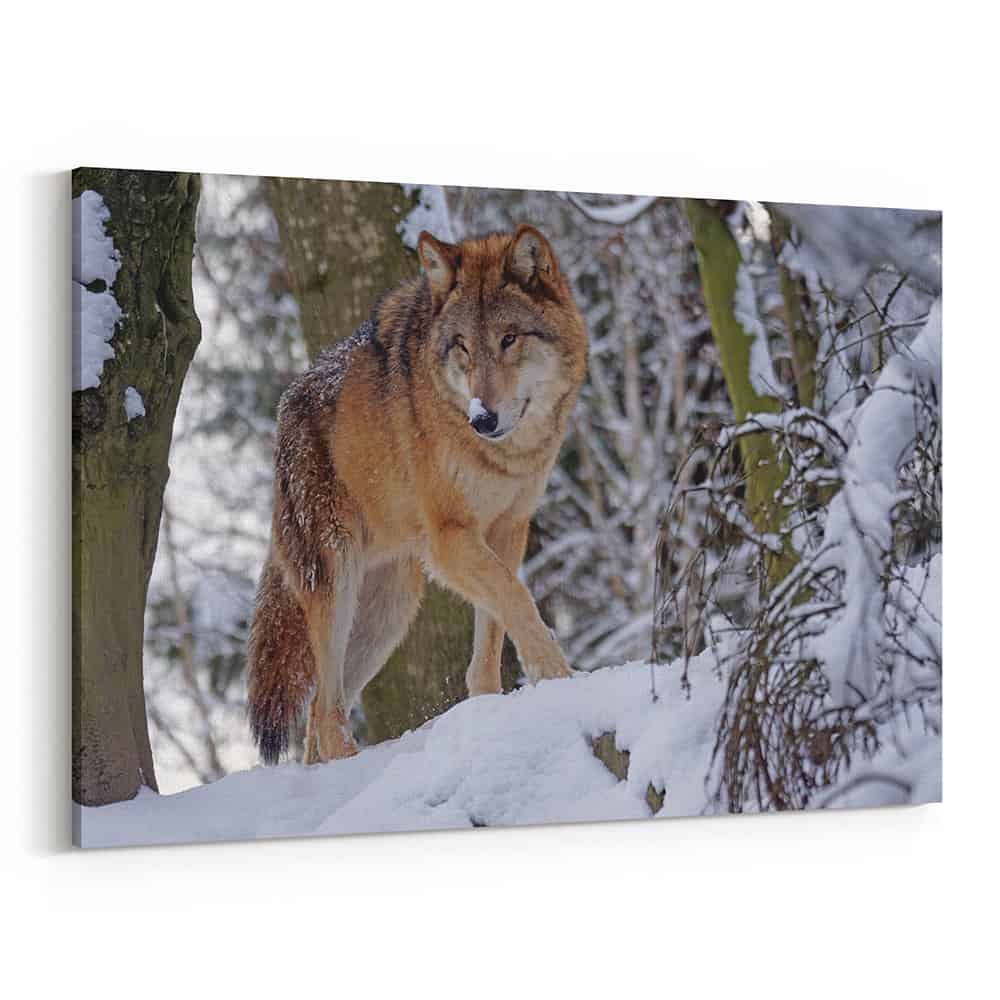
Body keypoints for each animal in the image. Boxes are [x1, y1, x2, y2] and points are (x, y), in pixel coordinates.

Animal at [247, 224, 588, 764]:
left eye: (509, 339)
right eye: (463, 346)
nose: (482, 418)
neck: (504, 455)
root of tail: (284, 412)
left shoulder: (508, 529)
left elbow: (494, 629)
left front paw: (490, 707)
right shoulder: (449, 539)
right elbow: (517, 599)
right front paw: (558, 679)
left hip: (389, 612)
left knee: (320, 715)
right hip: (338, 583)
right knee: (324, 711)